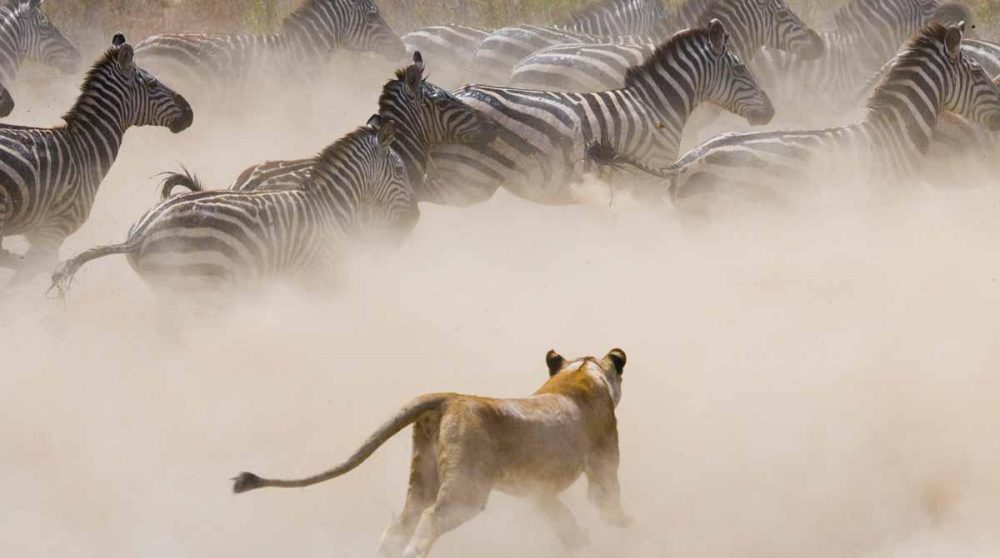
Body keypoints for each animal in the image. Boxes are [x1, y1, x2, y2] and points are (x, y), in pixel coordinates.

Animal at [232, 348, 632, 557]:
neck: (581, 373)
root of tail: (448, 397)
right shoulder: (602, 466)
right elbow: (608, 505)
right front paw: (627, 531)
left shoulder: (538, 489)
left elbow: (560, 516)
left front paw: (578, 541)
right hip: (465, 491)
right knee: (430, 519)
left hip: (423, 475)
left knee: (401, 522)